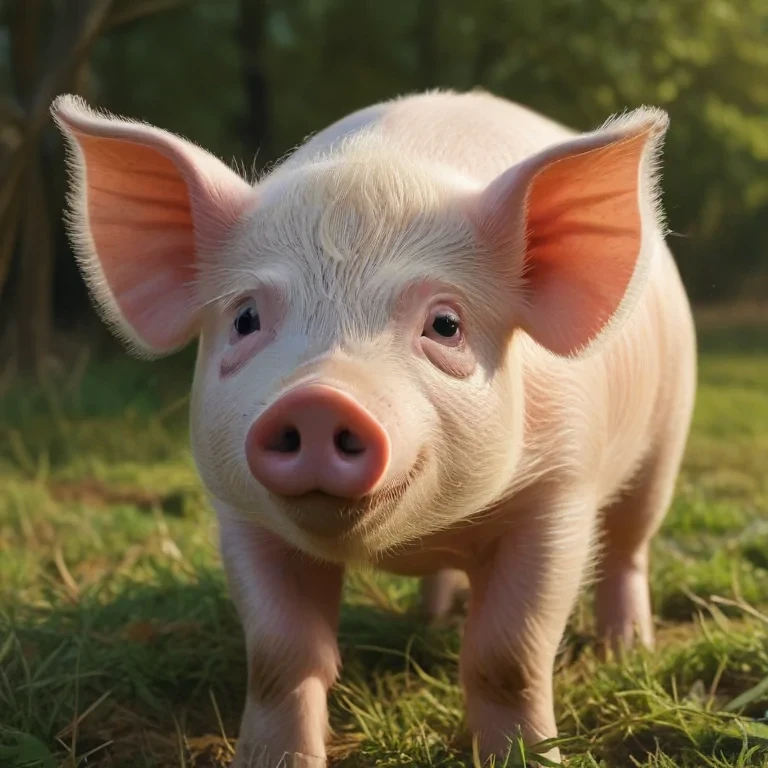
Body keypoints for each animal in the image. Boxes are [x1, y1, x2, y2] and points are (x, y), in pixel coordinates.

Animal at [51, 88, 696, 767]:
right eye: (246, 317)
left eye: (446, 324)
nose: (318, 398)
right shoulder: (241, 513)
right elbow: (280, 657)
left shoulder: (557, 493)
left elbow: (507, 657)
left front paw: (529, 755)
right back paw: (432, 620)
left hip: (666, 438)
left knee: (629, 547)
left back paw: (627, 649)